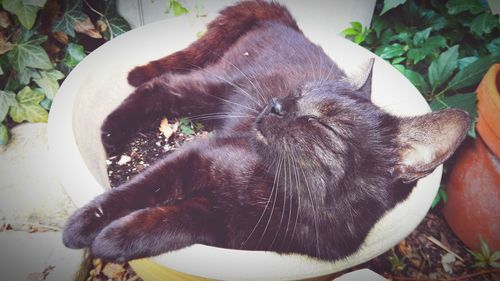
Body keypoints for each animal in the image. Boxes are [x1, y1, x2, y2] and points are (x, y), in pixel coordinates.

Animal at [62, 1, 468, 262]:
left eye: (323, 122)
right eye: (299, 93)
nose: (276, 104)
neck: (284, 192)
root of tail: (289, 22)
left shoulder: (224, 227)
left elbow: (171, 223)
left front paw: (115, 239)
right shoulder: (199, 156)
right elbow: (140, 189)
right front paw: (84, 225)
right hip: (212, 88)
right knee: (161, 85)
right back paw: (111, 133)